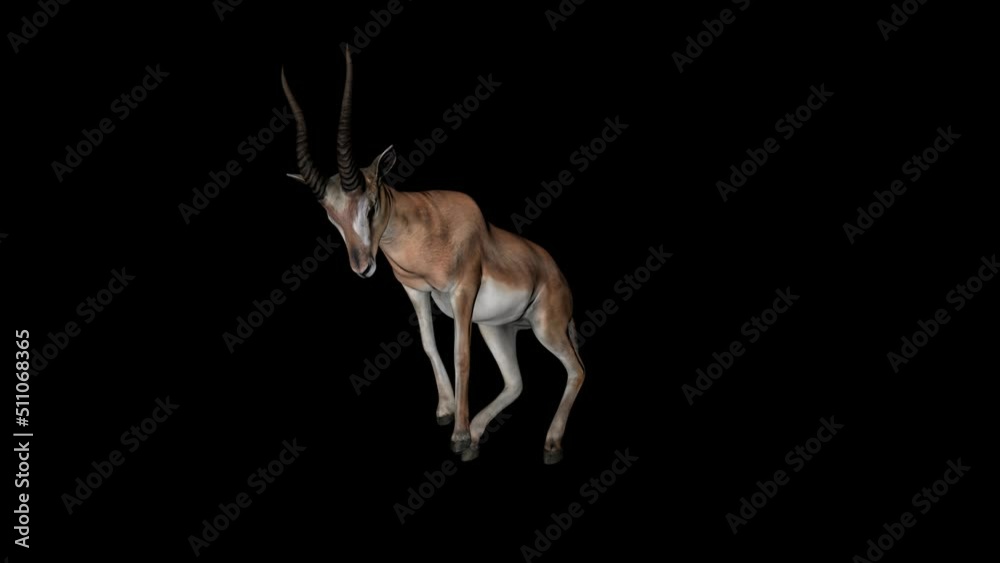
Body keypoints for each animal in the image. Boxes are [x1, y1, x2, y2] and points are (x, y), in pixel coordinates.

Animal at [281, 48, 584, 464]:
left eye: (370, 204)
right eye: (331, 216)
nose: (362, 267)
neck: (427, 227)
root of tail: (558, 276)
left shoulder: (463, 292)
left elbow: (461, 355)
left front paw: (457, 435)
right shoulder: (416, 291)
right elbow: (428, 344)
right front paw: (447, 414)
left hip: (545, 327)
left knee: (576, 370)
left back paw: (548, 446)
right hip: (498, 328)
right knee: (516, 382)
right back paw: (477, 436)